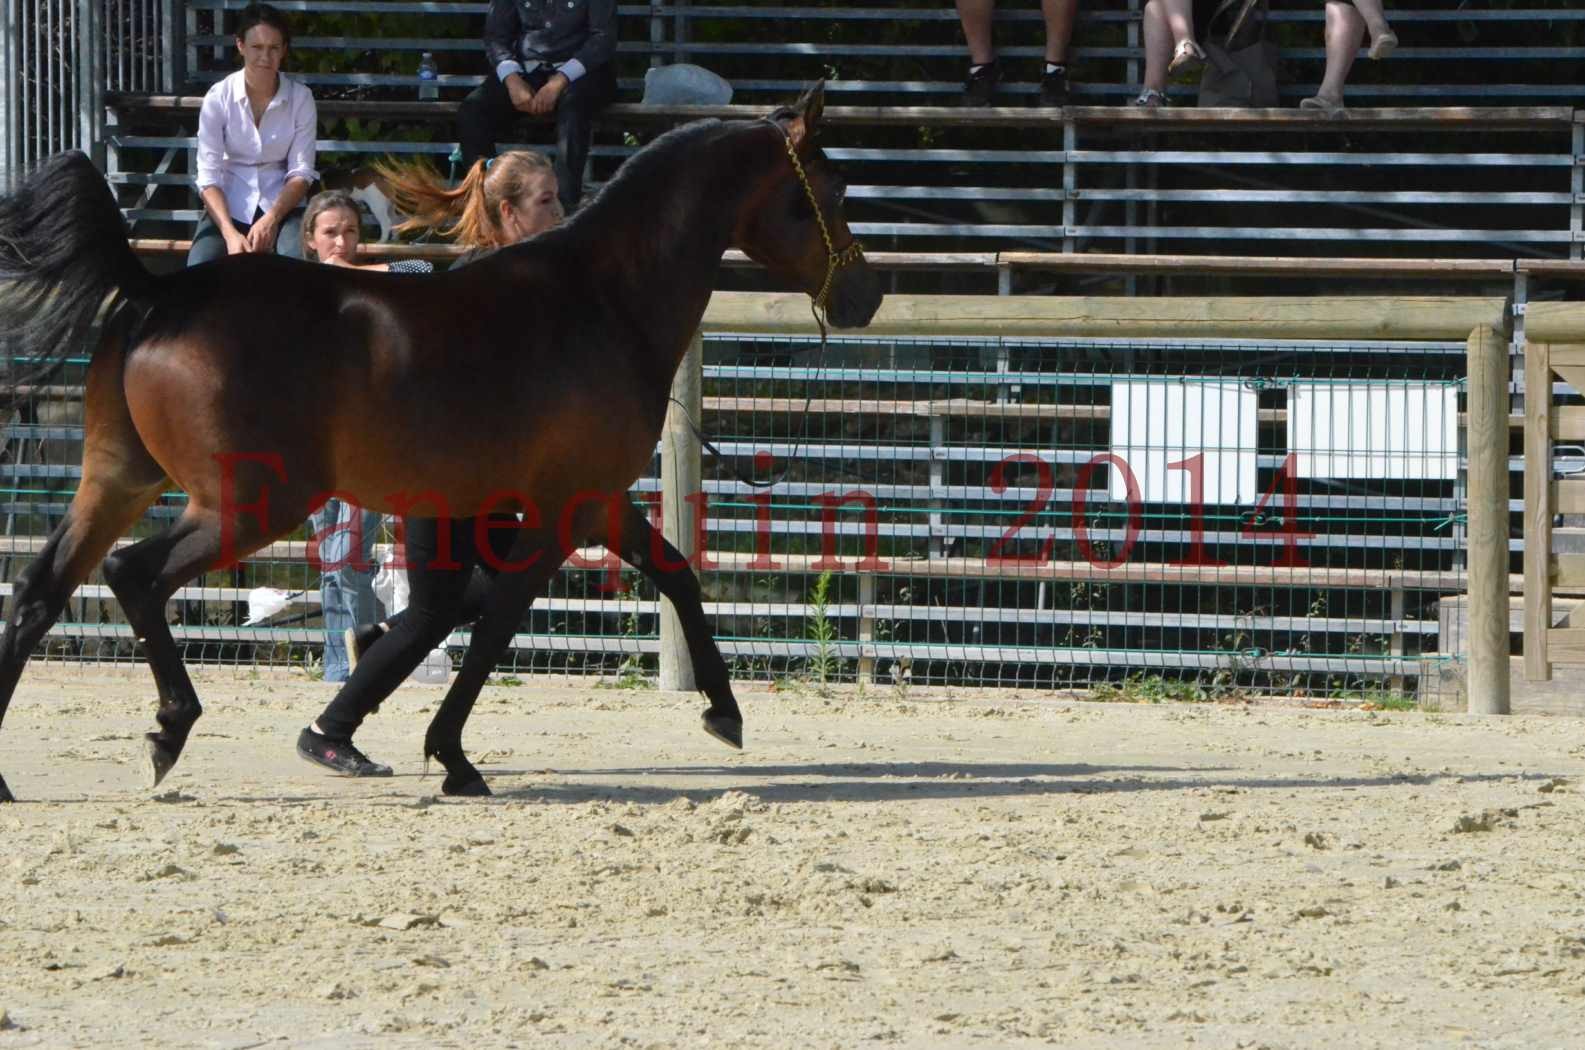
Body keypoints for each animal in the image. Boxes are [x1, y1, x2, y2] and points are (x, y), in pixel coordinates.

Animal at [0, 86, 881, 802]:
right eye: (834, 189)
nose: (865, 295)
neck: (601, 300)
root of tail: (159, 292)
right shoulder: (559, 512)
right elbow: (500, 623)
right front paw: (453, 758)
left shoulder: (596, 499)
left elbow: (675, 575)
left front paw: (724, 713)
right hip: (250, 504)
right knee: (133, 575)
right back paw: (171, 728)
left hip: (121, 480)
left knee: (40, 590)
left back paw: (12, 779)